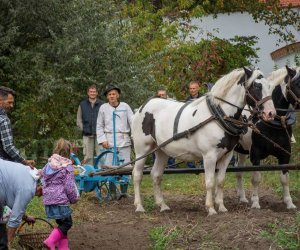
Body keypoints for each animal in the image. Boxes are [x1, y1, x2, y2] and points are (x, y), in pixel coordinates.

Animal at [132, 67, 276, 216]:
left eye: (269, 86)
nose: (271, 113)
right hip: (142, 150)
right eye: (257, 86)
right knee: (137, 175)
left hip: (161, 151)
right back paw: (139, 206)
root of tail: (142, 107)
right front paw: (211, 208)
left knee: (156, 175)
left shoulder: (227, 155)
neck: (219, 115)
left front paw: (221, 207)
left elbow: (220, 181)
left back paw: (163, 205)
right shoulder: (209, 156)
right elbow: (210, 182)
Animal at [237, 66, 300, 209]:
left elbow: (284, 179)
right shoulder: (255, 154)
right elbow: (256, 178)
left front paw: (289, 202)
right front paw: (255, 202)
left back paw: (242, 198)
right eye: (297, 83)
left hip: (242, 151)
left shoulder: (285, 155)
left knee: (239, 172)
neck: (272, 123)